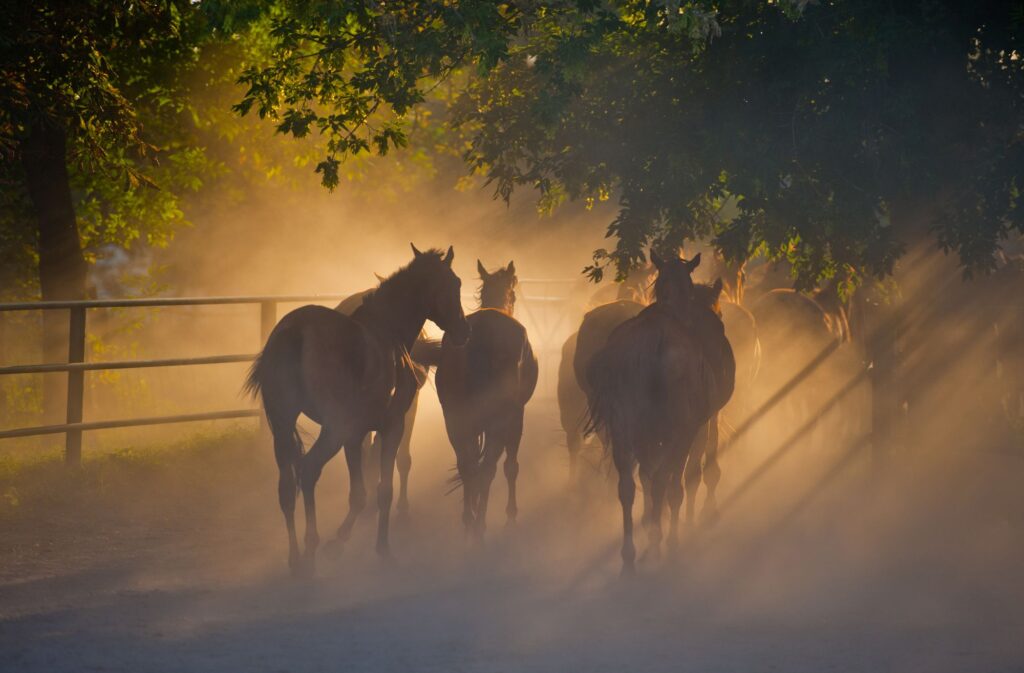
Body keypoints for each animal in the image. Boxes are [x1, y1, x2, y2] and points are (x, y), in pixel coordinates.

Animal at [245, 243, 468, 573]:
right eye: (454, 284)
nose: (464, 331)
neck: (387, 332)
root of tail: (295, 332)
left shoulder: (356, 434)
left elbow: (359, 493)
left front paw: (342, 541)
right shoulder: (390, 426)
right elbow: (383, 489)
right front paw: (378, 548)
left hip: (284, 426)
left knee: (286, 488)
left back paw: (296, 558)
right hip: (333, 429)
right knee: (309, 470)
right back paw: (311, 552)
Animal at [434, 260, 540, 536]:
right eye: (514, 292)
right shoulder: (516, 417)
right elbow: (511, 466)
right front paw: (511, 514)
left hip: (454, 418)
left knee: (467, 465)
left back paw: (469, 520)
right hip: (499, 419)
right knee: (487, 468)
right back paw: (479, 524)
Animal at [585, 251, 737, 573]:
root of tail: (655, 346)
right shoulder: (697, 425)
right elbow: (684, 478)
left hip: (626, 431)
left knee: (629, 487)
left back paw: (630, 556)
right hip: (676, 433)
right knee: (666, 484)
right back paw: (665, 546)